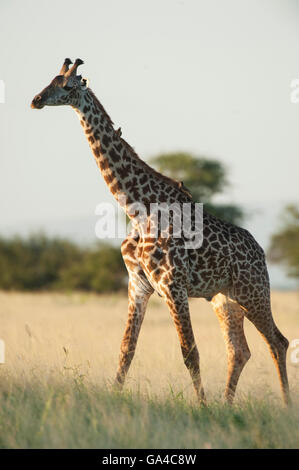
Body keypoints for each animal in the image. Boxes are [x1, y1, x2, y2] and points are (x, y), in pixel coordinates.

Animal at [31, 57, 290, 404]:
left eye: (68, 86)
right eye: (50, 81)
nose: (36, 100)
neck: (139, 209)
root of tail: (261, 252)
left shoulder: (172, 284)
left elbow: (189, 352)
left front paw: (201, 406)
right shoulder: (138, 284)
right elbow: (126, 349)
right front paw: (114, 396)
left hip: (254, 292)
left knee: (278, 341)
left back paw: (285, 405)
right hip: (226, 299)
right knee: (240, 350)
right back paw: (228, 404)